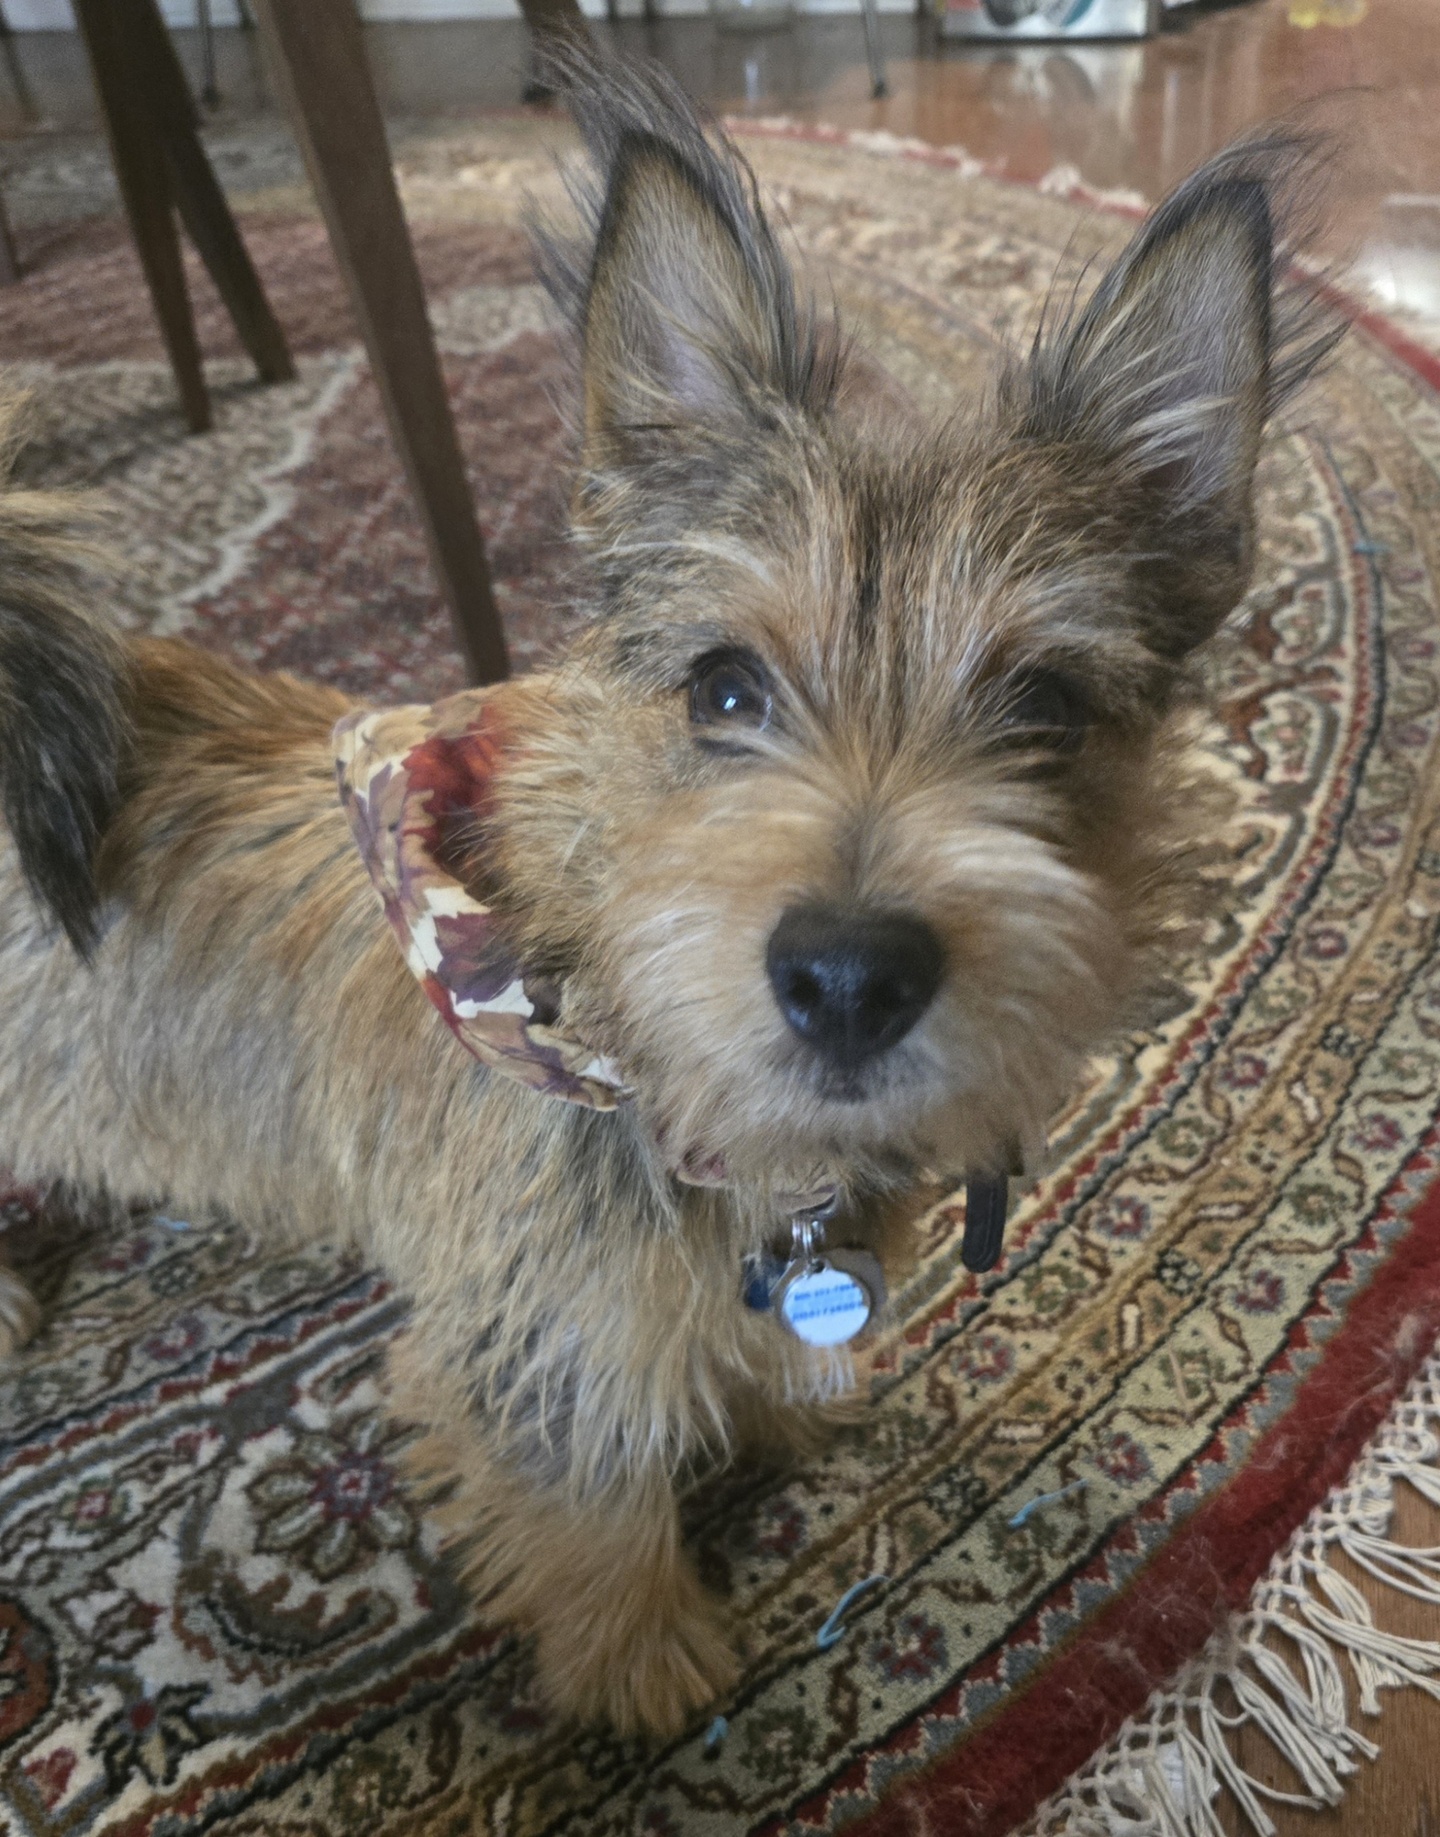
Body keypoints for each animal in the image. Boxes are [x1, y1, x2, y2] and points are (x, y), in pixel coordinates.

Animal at [0, 56, 1335, 1736]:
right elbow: (596, 1504)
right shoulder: (535, 1345)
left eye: (1042, 709)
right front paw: (647, 1673)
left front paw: (774, 1415)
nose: (849, 973)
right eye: (721, 686)